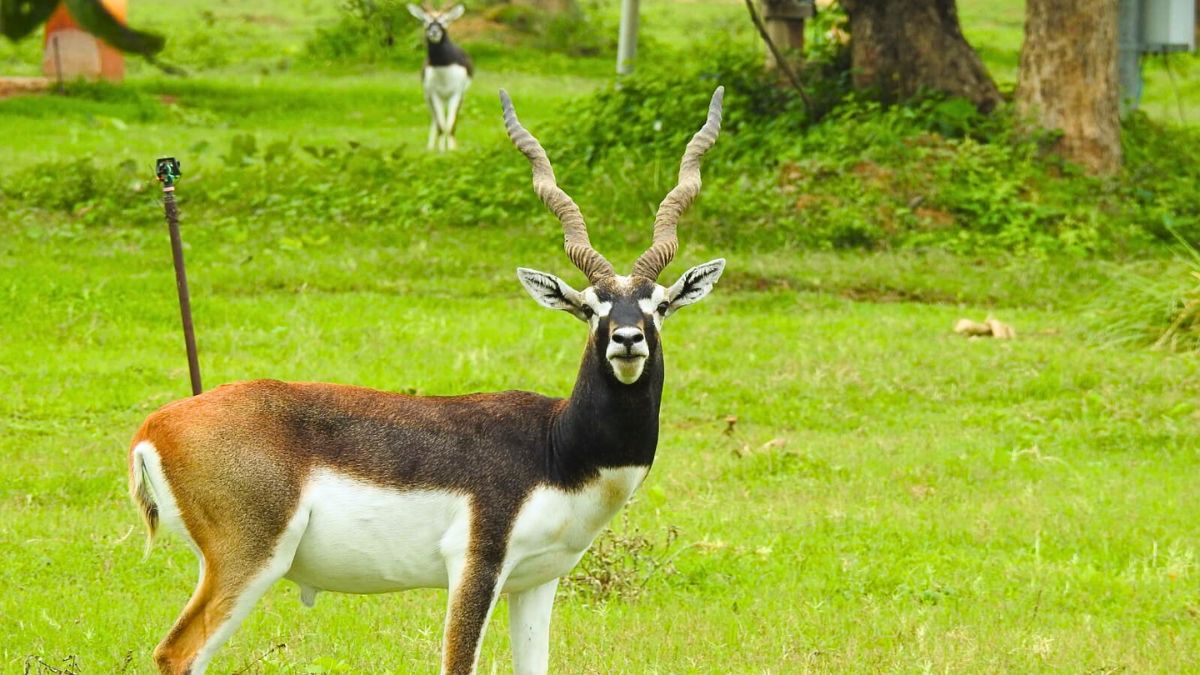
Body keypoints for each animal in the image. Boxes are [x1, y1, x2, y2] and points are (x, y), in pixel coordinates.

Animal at [132, 85, 729, 672]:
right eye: (589, 307)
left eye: (660, 305)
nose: (626, 339)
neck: (556, 445)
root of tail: (155, 427)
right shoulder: (475, 564)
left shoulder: (537, 581)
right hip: (251, 557)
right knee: (176, 653)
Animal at [408, 3, 472, 150]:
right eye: (425, 21)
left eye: (444, 22)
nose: (434, 32)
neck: (443, 66)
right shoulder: (434, 94)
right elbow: (441, 126)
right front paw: (442, 150)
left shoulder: (456, 93)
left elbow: (450, 125)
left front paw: (452, 150)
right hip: (429, 98)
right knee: (435, 120)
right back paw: (431, 147)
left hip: (459, 96)